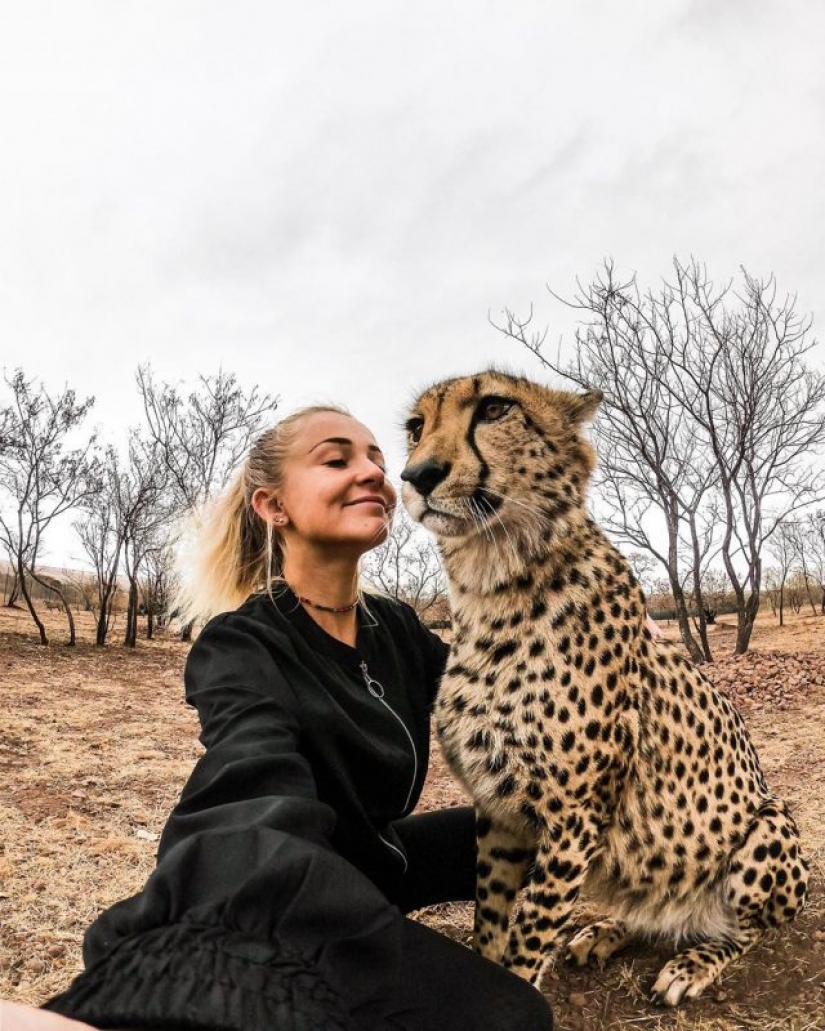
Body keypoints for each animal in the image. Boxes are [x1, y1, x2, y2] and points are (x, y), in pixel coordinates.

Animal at [400, 367, 804, 1002]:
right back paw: (607, 932)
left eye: (494, 409)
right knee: (657, 912)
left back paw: (694, 963)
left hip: (770, 823)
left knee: (744, 931)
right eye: (415, 428)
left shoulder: (575, 818)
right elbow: (493, 916)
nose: (417, 475)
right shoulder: (501, 810)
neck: (492, 584)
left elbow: (529, 933)